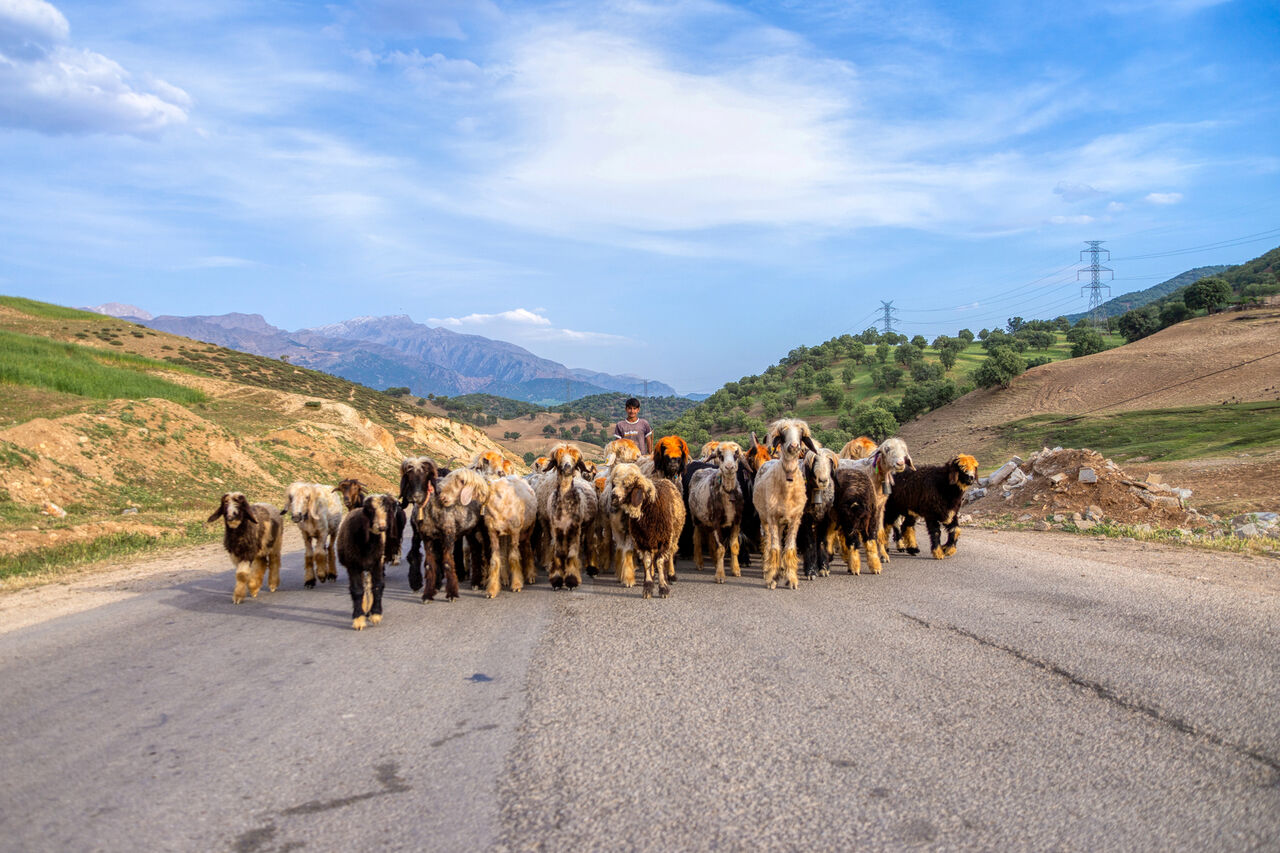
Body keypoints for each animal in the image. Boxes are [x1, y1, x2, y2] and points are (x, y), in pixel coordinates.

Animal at [335, 494, 389, 627]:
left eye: (386, 509)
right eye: (370, 510)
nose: (382, 526)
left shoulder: (377, 563)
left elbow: (377, 586)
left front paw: (376, 614)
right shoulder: (353, 566)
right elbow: (357, 590)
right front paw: (358, 619)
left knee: (368, 586)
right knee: (364, 588)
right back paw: (364, 610)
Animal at [611, 458, 686, 596]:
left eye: (628, 486)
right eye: (615, 483)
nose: (613, 496)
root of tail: (665, 480)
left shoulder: (664, 540)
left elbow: (660, 562)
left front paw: (663, 587)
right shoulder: (642, 541)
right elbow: (647, 561)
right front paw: (648, 585)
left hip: (674, 536)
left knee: (671, 553)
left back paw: (671, 574)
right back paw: (652, 573)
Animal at [691, 440, 747, 581]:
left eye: (736, 454)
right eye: (720, 455)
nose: (729, 467)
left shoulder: (736, 521)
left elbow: (734, 546)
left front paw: (736, 569)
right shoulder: (716, 522)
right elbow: (721, 548)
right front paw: (720, 575)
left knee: (711, 540)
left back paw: (715, 562)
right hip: (696, 518)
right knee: (697, 538)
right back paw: (699, 562)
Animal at [752, 417, 814, 589]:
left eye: (800, 434)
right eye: (783, 434)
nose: (794, 446)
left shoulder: (795, 519)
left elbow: (790, 548)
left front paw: (791, 578)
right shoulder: (772, 518)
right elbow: (774, 548)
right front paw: (771, 579)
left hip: (781, 522)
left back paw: (781, 570)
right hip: (765, 518)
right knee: (770, 542)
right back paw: (769, 569)